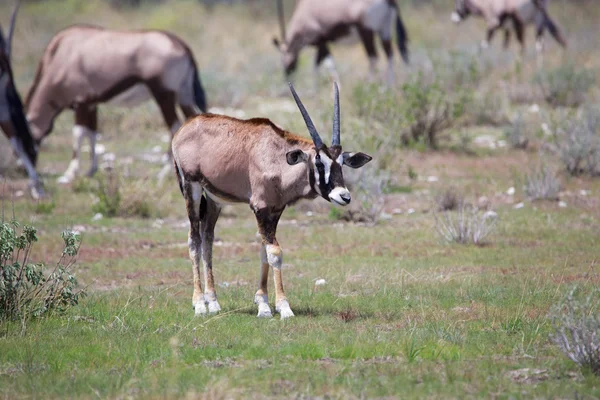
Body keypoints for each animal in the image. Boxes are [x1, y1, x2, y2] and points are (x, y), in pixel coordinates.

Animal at [25, 23, 209, 183]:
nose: (23, 168)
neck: (61, 56)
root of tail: (181, 45)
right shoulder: (91, 104)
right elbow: (92, 133)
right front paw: (91, 170)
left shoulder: (81, 102)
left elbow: (78, 133)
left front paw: (70, 173)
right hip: (184, 95)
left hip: (164, 95)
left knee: (174, 127)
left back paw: (163, 173)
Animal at [171, 83, 372, 318]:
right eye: (319, 163)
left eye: (342, 164)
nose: (344, 196)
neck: (278, 160)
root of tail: (185, 127)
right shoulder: (260, 208)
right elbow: (274, 252)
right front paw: (282, 307)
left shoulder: (275, 210)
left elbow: (264, 252)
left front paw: (263, 302)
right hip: (191, 187)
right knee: (194, 239)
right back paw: (199, 303)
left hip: (214, 199)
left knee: (207, 239)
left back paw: (213, 302)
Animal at [274, 0, 410, 86]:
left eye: (282, 58)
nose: (287, 76)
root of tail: (389, 1)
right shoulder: (323, 43)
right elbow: (319, 65)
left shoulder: (321, 41)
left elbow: (326, 64)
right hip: (385, 30)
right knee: (389, 54)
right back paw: (389, 87)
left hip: (366, 31)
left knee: (373, 57)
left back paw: (370, 85)